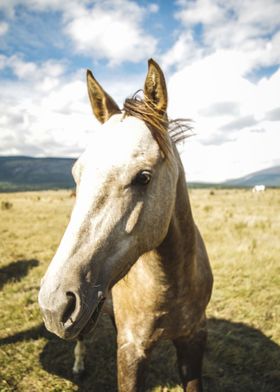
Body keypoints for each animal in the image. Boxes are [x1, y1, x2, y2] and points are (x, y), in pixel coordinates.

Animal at [38, 59, 212, 392]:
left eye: (143, 177)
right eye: (77, 175)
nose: (54, 304)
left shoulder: (193, 341)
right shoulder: (131, 351)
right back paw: (79, 365)